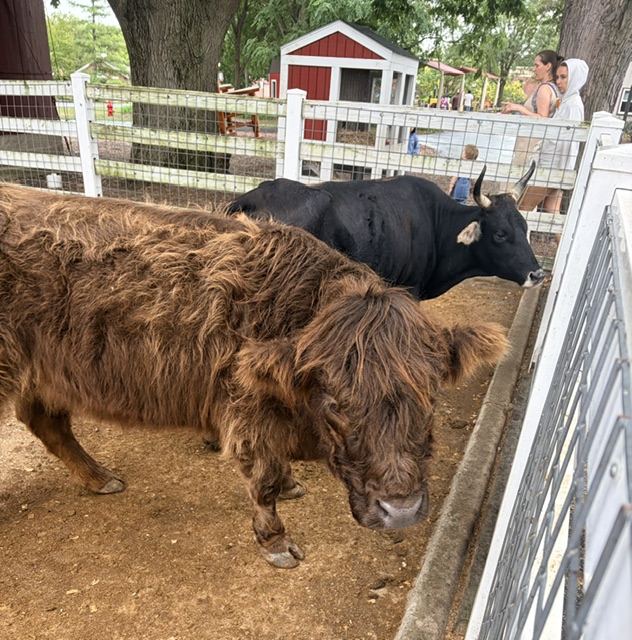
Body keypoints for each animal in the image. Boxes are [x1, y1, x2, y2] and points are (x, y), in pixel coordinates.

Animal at [0, 184, 507, 569]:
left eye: (431, 397)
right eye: (335, 403)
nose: (400, 511)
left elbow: (277, 469)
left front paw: (290, 484)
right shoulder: (245, 412)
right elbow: (261, 482)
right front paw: (276, 542)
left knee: (46, 422)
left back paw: (99, 477)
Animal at [228, 162, 545, 299]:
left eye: (525, 227)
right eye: (500, 234)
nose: (538, 274)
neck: (436, 222)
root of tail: (252, 197)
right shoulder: (409, 290)